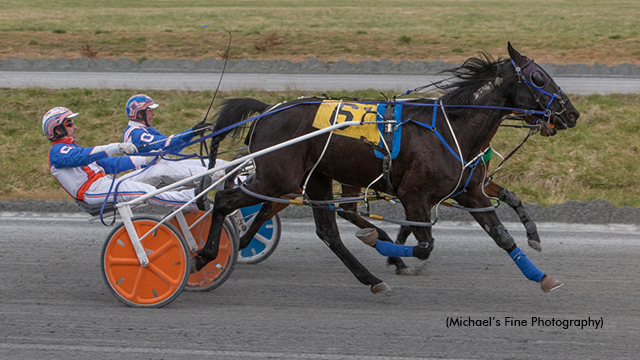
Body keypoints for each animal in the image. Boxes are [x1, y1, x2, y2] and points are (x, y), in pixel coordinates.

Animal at [196, 43, 580, 292]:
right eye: (538, 78)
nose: (572, 113)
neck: (452, 128)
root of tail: (267, 110)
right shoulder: (414, 195)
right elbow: (424, 244)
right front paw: (389, 250)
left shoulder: (469, 191)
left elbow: (502, 236)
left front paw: (541, 274)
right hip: (277, 177)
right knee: (226, 200)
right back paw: (207, 255)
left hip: (315, 177)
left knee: (328, 232)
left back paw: (370, 278)